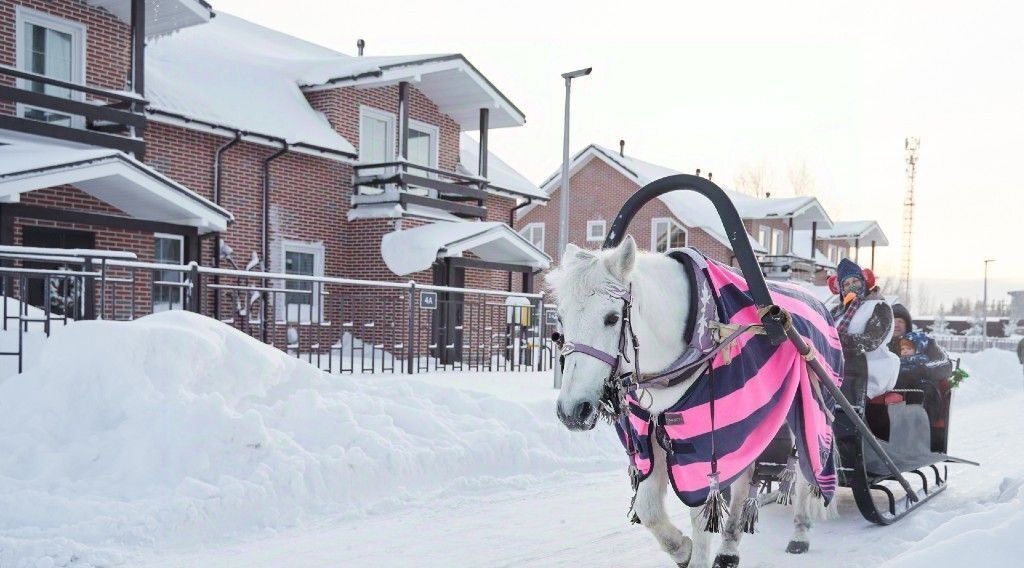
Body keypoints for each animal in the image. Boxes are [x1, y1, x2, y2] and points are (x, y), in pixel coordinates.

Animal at [548, 237, 827, 568]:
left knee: (805, 472)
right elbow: (648, 508)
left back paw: (800, 531)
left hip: (806, 410)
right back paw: (729, 548)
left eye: (612, 318)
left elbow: (701, 512)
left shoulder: (706, 445)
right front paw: (683, 550)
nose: (572, 411)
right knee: (744, 480)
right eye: (561, 317)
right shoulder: (650, 437)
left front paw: (696, 553)